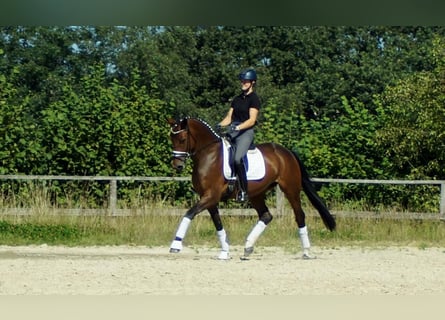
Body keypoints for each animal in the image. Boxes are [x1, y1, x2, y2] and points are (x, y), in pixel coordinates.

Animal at [167, 117, 336, 260]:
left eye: (182, 139)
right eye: (171, 139)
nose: (177, 165)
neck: (208, 155)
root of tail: (286, 152)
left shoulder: (211, 196)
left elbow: (189, 213)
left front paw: (176, 245)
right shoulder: (209, 199)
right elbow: (218, 223)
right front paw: (224, 252)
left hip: (290, 189)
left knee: (299, 215)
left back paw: (306, 252)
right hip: (256, 194)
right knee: (266, 215)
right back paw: (247, 248)